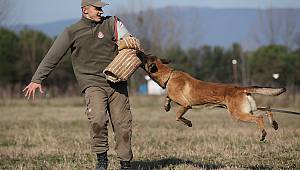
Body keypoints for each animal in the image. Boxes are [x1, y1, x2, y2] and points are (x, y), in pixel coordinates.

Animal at [142, 55, 288, 141]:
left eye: (146, 58)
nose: (139, 52)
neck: (169, 75)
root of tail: (240, 88)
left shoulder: (185, 104)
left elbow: (177, 116)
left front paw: (188, 123)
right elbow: (167, 97)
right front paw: (166, 106)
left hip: (238, 114)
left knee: (259, 117)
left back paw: (263, 133)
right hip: (248, 109)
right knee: (267, 109)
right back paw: (274, 124)